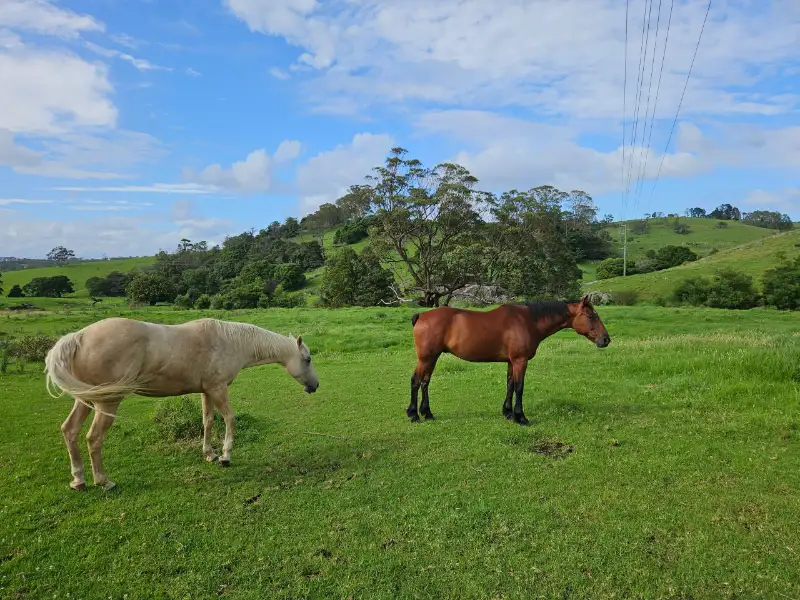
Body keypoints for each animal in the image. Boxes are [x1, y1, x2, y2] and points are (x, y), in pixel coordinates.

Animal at [44, 317, 319, 491]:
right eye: (307, 359)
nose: (315, 386)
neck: (230, 341)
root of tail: (79, 336)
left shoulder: (207, 391)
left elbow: (208, 421)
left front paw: (209, 453)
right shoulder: (219, 389)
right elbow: (230, 420)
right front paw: (226, 456)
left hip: (86, 399)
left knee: (70, 430)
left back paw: (78, 480)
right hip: (107, 402)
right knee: (94, 438)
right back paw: (104, 481)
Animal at [406, 295, 611, 425]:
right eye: (591, 315)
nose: (606, 339)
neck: (528, 321)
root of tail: (421, 315)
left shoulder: (512, 362)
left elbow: (510, 384)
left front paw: (508, 413)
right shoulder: (520, 361)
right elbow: (519, 387)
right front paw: (521, 417)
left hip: (432, 357)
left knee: (425, 382)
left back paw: (427, 413)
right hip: (426, 358)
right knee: (416, 381)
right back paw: (413, 414)